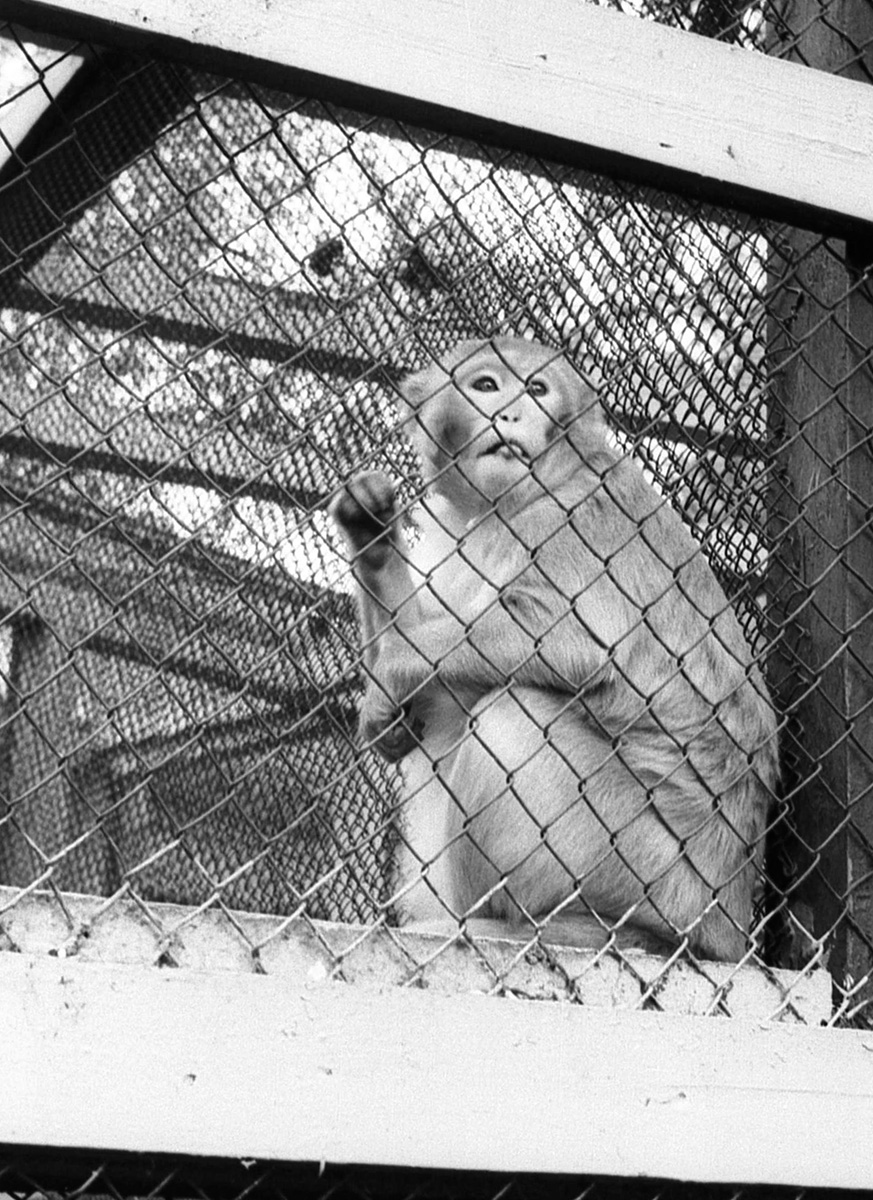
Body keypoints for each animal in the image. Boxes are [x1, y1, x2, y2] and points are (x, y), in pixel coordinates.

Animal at [330, 337, 779, 961]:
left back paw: (524, 927)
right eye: (487, 385)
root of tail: (729, 923)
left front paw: (385, 681)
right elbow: (429, 683)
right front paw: (370, 534)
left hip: (641, 865)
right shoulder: (451, 533)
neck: (500, 509)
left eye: (537, 389)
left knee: (510, 714)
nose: (512, 412)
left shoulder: (582, 512)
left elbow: (571, 641)